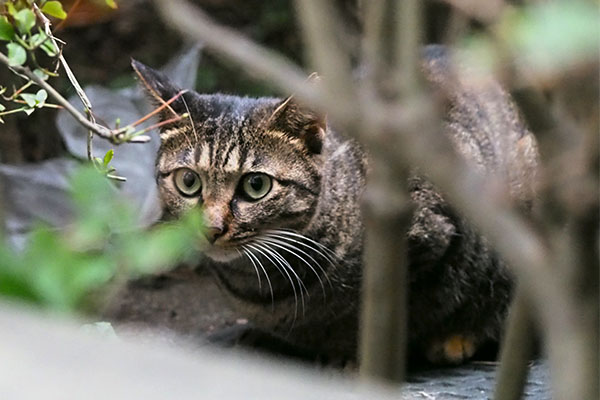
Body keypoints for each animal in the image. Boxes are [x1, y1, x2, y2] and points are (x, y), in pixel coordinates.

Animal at [131, 45, 540, 364]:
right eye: (189, 182)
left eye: (256, 185)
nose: (211, 227)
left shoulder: (429, 235)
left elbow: (399, 312)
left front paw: (354, 355)